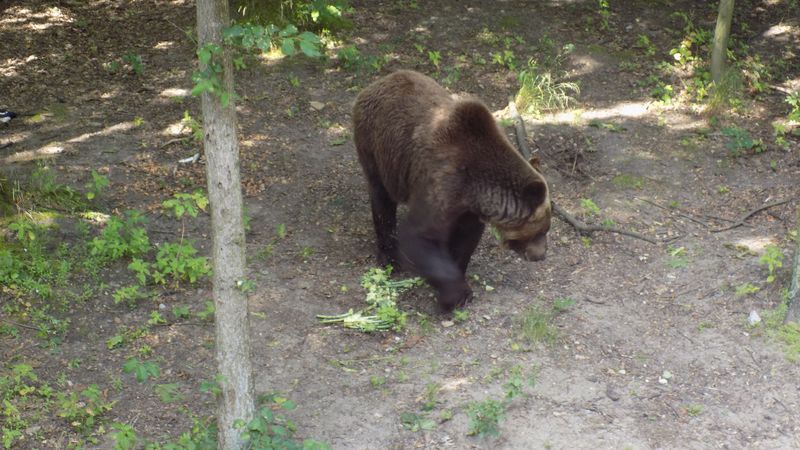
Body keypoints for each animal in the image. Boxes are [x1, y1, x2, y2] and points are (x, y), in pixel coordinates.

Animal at [352, 70, 552, 311]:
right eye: (543, 230)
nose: (541, 255)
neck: (476, 188)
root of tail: (378, 82)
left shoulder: (469, 209)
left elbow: (465, 239)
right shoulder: (441, 184)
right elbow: (418, 233)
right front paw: (456, 295)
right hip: (377, 148)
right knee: (381, 199)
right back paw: (388, 256)